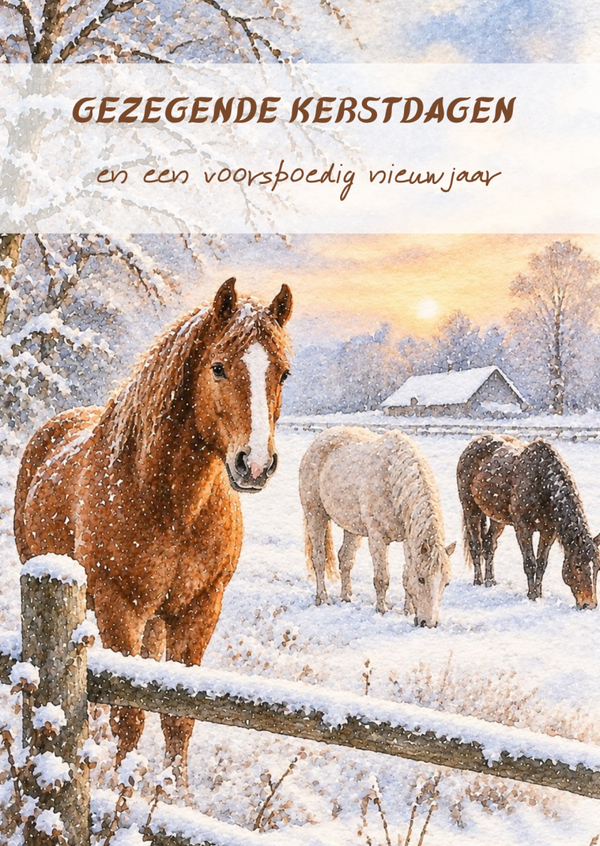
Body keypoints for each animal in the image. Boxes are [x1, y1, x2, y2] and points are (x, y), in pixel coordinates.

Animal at [13, 277, 293, 781]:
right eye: (218, 368)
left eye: (282, 374)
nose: (256, 464)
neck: (173, 506)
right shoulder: (118, 608)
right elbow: (129, 715)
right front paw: (125, 791)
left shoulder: (199, 610)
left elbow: (178, 716)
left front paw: (170, 792)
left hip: (158, 621)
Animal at [299, 427, 455, 627]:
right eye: (422, 579)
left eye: (446, 582)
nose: (429, 623)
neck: (393, 479)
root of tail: (320, 438)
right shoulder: (377, 537)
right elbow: (382, 578)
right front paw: (381, 610)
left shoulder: (408, 539)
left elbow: (406, 575)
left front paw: (408, 611)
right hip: (315, 516)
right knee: (319, 559)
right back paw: (323, 599)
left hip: (351, 528)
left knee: (345, 558)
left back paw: (346, 597)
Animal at [457, 434, 599, 609]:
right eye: (578, 566)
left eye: (597, 566)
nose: (590, 604)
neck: (543, 482)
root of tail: (474, 443)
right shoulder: (523, 528)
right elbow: (530, 563)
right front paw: (531, 596)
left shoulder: (548, 531)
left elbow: (541, 563)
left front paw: (539, 595)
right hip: (470, 509)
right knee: (476, 545)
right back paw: (478, 581)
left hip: (497, 518)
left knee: (489, 543)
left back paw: (490, 581)